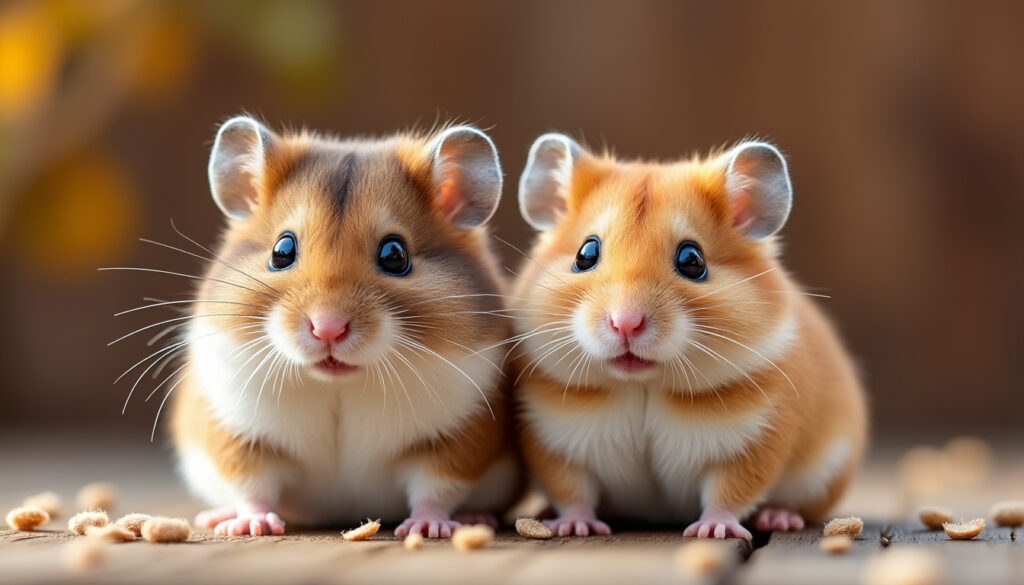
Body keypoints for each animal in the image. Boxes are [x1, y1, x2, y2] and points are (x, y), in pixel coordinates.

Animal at [159, 116, 519, 537]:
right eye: (282, 251)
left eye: (395, 255)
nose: (327, 328)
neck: (339, 384)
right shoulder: (239, 433)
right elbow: (251, 484)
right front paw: (251, 526)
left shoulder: (455, 438)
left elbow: (436, 488)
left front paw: (426, 528)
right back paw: (216, 517)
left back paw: (476, 518)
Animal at [510, 133, 867, 539]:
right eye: (585, 254)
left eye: (692, 261)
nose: (625, 323)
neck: (643, 384)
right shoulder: (555, 444)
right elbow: (572, 492)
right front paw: (573, 527)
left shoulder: (754, 442)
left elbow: (730, 494)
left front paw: (713, 532)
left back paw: (777, 518)